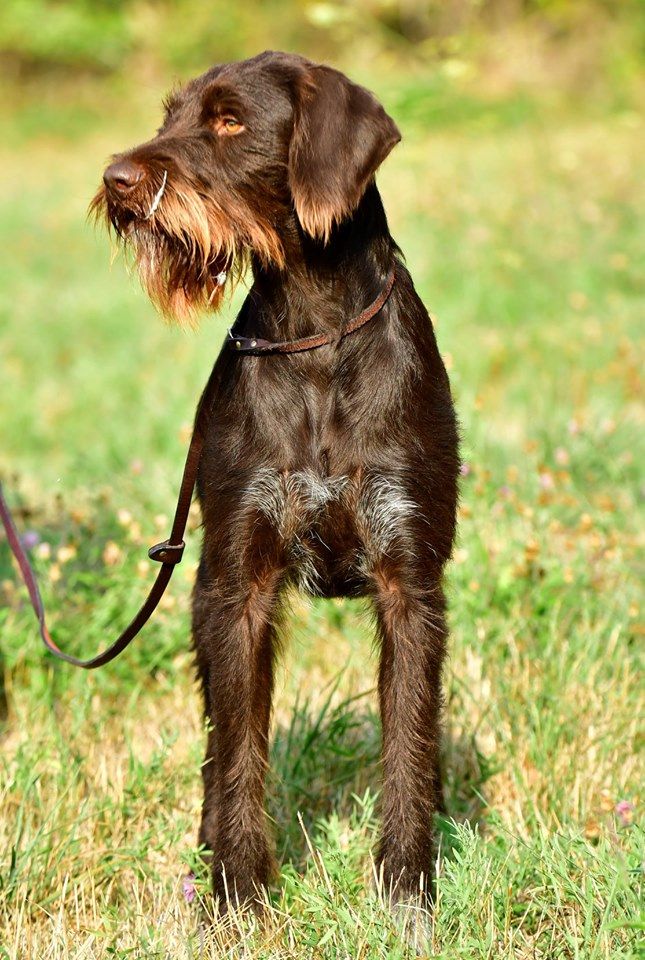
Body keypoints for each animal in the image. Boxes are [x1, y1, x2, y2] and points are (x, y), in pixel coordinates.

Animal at [94, 52, 458, 916]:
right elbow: (237, 752)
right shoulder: (234, 584)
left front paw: (406, 889)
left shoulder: (410, 581)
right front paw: (236, 893)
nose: (118, 178)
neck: (313, 330)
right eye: (169, 116)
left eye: (229, 121)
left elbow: (407, 739)